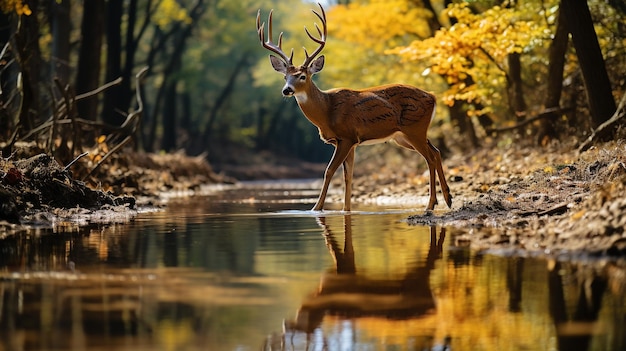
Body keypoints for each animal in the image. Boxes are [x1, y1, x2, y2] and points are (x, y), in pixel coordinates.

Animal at [256, 3, 450, 212]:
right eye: (285, 76)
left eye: (302, 76)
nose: (287, 90)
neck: (327, 111)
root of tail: (432, 96)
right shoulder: (349, 142)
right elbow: (348, 175)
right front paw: (346, 210)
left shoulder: (347, 137)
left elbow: (329, 170)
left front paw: (316, 208)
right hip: (404, 136)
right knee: (436, 152)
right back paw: (448, 198)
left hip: (414, 128)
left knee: (429, 158)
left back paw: (431, 204)